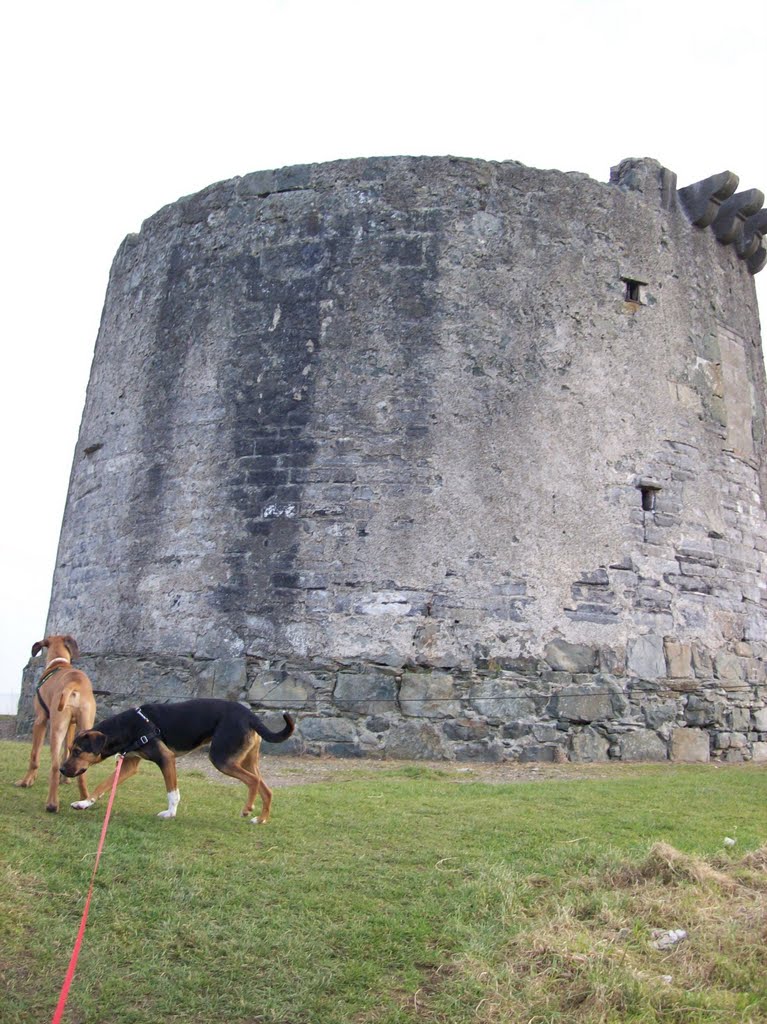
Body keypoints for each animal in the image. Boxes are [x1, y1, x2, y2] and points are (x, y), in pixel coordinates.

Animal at [14, 634, 96, 811]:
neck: (58, 663)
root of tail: (74, 684)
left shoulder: (40, 720)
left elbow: (34, 755)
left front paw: (26, 781)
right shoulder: (72, 726)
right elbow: (67, 751)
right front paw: (65, 779)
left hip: (56, 728)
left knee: (54, 764)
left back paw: (52, 804)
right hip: (85, 726)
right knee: (83, 766)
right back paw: (84, 798)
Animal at [59, 700, 292, 819]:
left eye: (78, 751)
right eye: (71, 750)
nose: (61, 770)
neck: (126, 727)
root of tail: (250, 715)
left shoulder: (166, 758)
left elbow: (173, 793)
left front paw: (170, 813)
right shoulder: (129, 765)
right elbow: (103, 785)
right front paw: (84, 803)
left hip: (222, 759)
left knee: (254, 781)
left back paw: (247, 809)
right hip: (245, 760)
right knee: (266, 788)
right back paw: (260, 819)